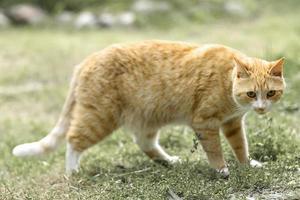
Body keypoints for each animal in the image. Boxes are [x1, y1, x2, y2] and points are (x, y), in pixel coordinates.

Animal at [11, 40, 284, 177]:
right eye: (252, 93)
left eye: (270, 93)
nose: (261, 107)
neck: (227, 80)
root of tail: (87, 60)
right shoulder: (205, 123)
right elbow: (215, 150)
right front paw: (221, 170)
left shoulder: (232, 123)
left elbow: (240, 146)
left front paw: (247, 164)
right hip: (100, 117)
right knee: (73, 140)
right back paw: (73, 171)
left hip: (148, 117)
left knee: (144, 142)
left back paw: (169, 161)